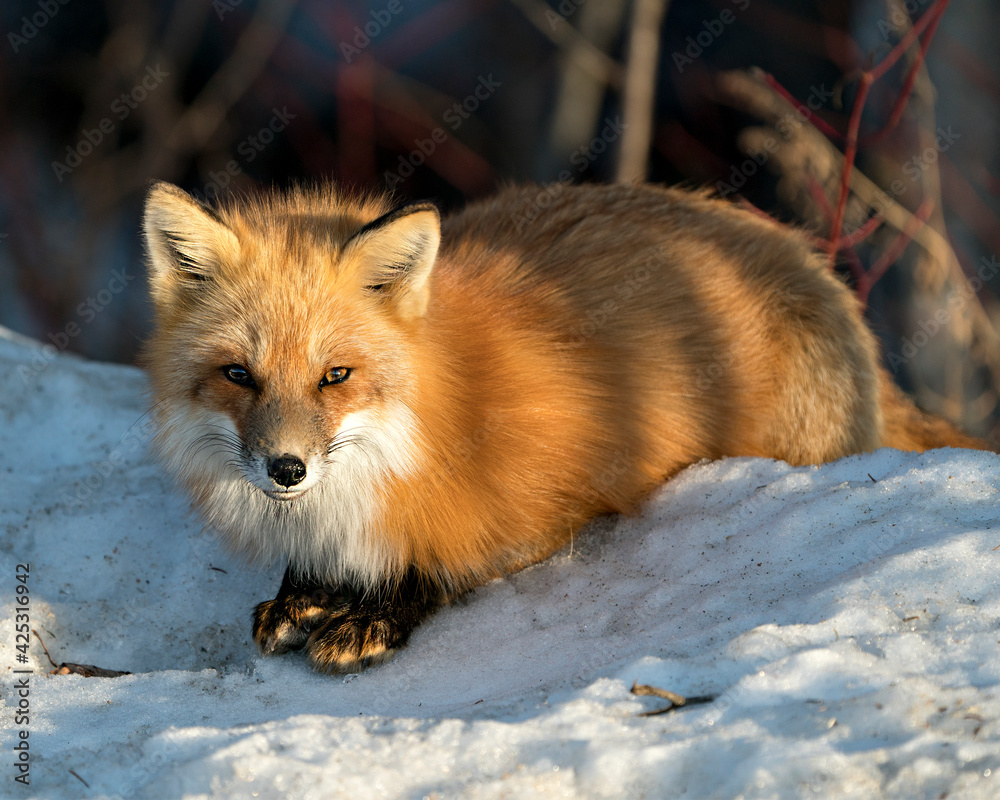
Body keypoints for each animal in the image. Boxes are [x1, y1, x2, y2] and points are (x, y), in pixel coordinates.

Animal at [141, 180, 991, 673]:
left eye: (336, 376)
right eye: (239, 375)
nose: (286, 469)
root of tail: (809, 258)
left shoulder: (551, 506)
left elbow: (444, 565)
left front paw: (374, 613)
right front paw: (302, 595)